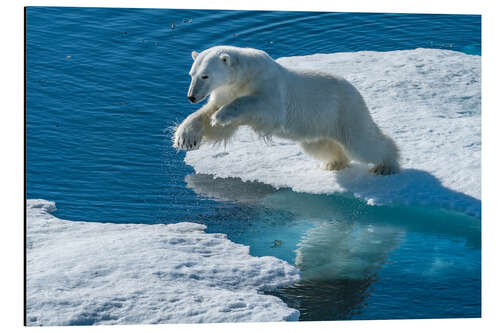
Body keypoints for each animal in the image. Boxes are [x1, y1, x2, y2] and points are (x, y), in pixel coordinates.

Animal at [174, 45, 400, 175]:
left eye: (205, 75)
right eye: (191, 74)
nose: (191, 97)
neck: (244, 75)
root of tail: (355, 91)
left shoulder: (268, 85)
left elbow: (265, 107)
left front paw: (221, 115)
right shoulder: (225, 91)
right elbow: (210, 119)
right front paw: (186, 138)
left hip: (344, 110)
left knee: (363, 143)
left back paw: (385, 165)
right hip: (317, 125)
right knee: (320, 146)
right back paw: (334, 163)